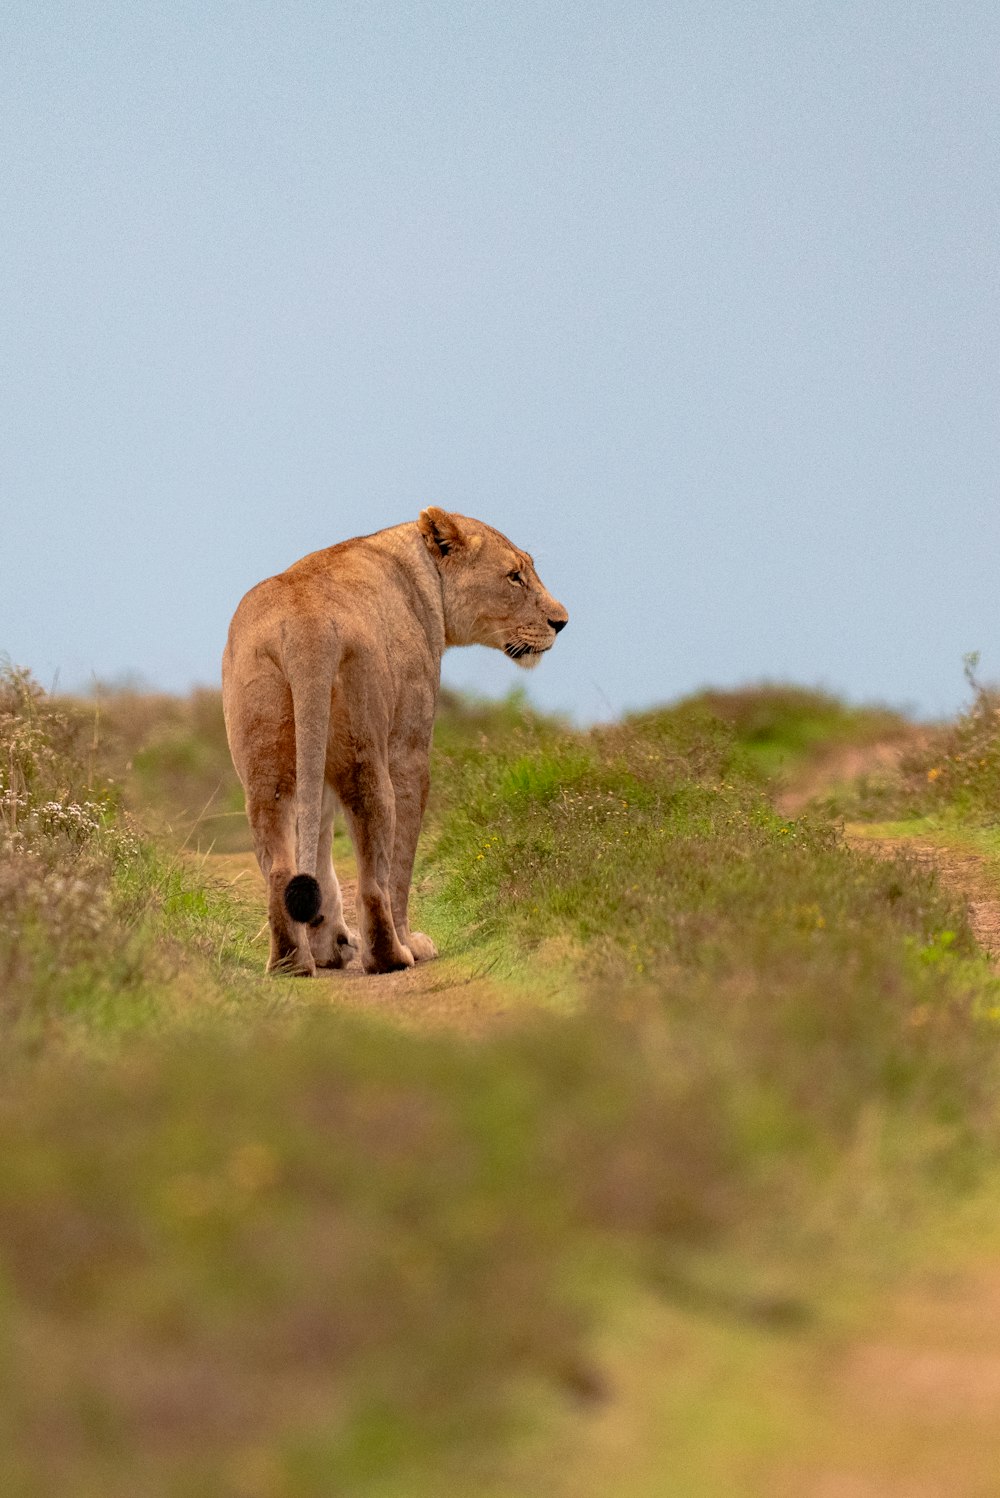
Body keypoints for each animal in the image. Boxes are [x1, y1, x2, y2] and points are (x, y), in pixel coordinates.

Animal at [221, 509, 565, 976]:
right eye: (515, 576)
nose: (562, 621)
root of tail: (308, 627)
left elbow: (321, 840)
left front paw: (330, 947)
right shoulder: (409, 749)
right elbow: (401, 860)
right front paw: (410, 943)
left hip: (266, 765)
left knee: (279, 864)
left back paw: (293, 962)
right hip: (365, 749)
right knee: (373, 873)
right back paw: (391, 955)